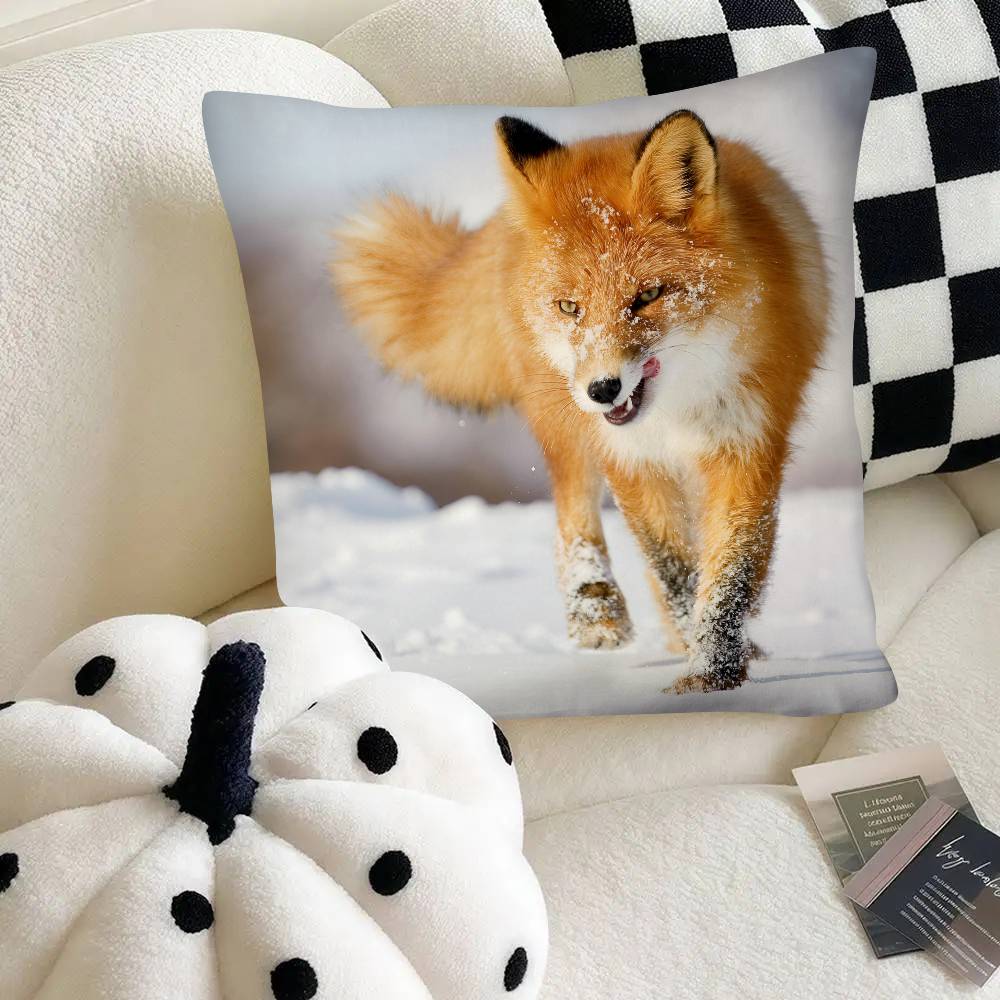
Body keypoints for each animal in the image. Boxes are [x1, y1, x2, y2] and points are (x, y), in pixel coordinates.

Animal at [330, 110, 828, 693]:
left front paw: (713, 670)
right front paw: (703, 663)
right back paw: (596, 613)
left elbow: (729, 571)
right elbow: (674, 568)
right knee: (573, 511)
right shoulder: (632, 459)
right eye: (571, 307)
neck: (676, 411)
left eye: (646, 296)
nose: (602, 389)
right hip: (564, 423)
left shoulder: (748, 443)